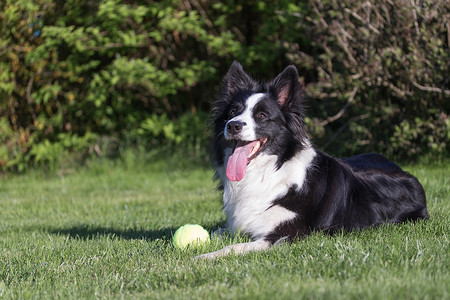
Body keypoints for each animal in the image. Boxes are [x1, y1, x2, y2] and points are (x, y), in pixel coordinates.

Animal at [195, 60, 428, 258]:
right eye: (233, 111)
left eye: (262, 116)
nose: (233, 125)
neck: (269, 170)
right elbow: (216, 231)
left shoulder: (286, 235)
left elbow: (233, 247)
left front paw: (201, 258)